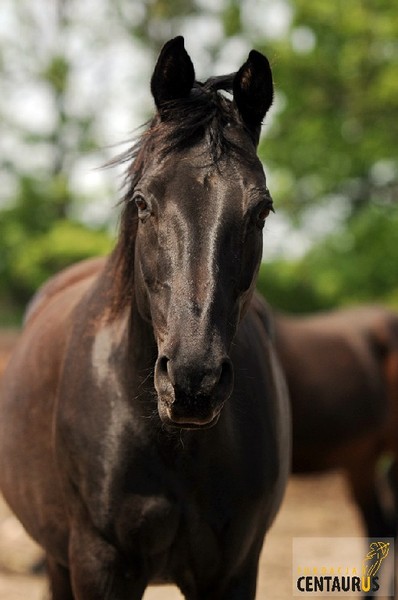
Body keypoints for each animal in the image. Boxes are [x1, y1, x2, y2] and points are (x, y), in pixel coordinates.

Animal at [0, 37, 290, 600]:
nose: (193, 382)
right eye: (142, 201)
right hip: (58, 559)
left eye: (261, 210)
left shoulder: (233, 570)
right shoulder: (99, 563)